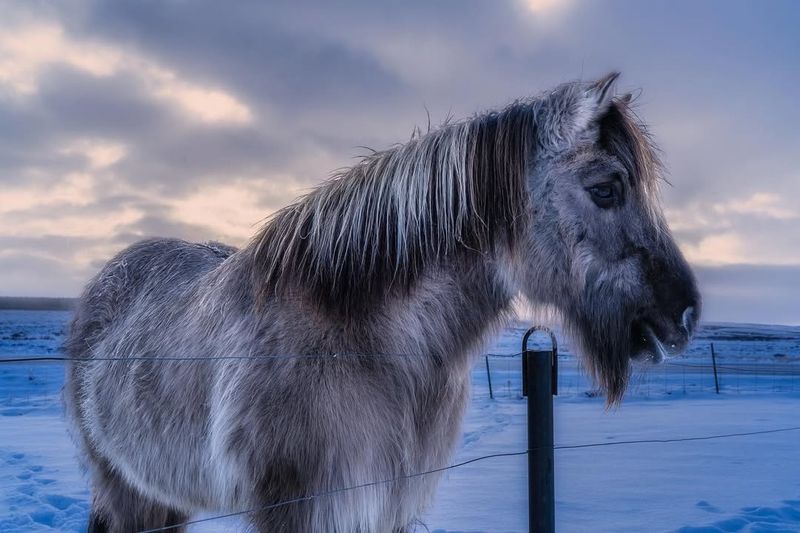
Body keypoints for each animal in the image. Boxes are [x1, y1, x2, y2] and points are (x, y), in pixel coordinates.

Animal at [64, 74, 700, 532]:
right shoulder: (298, 512)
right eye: (606, 189)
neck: (374, 346)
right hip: (125, 491)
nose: (686, 313)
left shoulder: (388, 507)